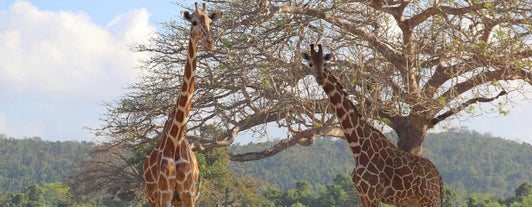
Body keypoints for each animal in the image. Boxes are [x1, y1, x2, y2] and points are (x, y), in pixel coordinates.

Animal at [142, 2, 221, 206]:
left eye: (210, 21)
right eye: (193, 22)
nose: (210, 43)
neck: (176, 139)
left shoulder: (188, 192)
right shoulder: (165, 193)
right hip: (152, 197)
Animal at [302, 45, 442, 207]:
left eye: (324, 63)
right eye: (310, 64)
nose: (319, 77)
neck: (358, 148)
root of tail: (438, 176)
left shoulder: (373, 194)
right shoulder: (363, 195)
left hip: (428, 198)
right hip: (414, 201)